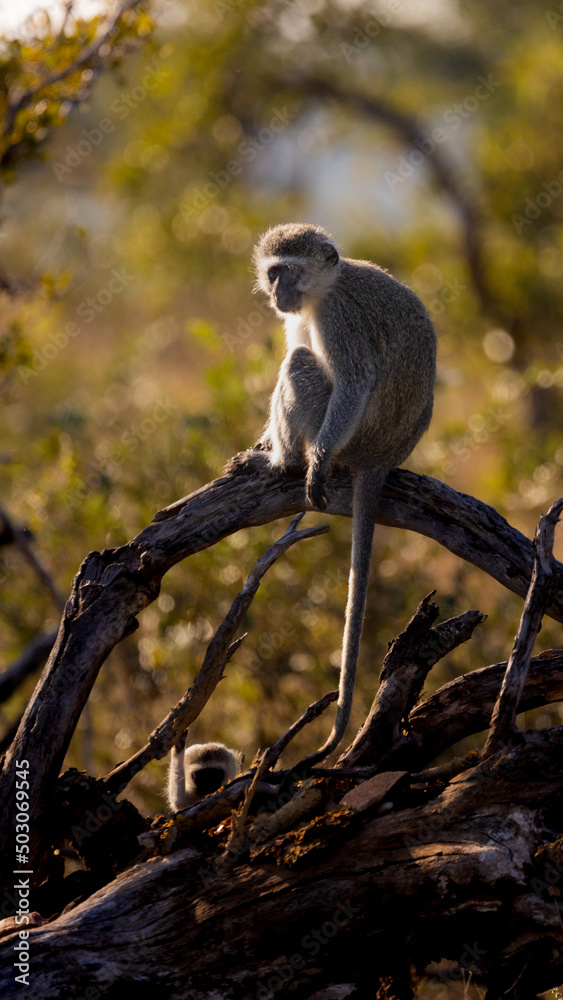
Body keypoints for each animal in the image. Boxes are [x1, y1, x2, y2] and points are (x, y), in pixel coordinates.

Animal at [247, 222, 437, 766]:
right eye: (273, 272)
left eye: (289, 271)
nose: (277, 293)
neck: (325, 288)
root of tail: (383, 456)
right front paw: (264, 441)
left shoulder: (338, 318)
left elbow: (353, 381)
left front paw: (306, 463)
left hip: (351, 437)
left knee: (299, 363)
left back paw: (287, 461)